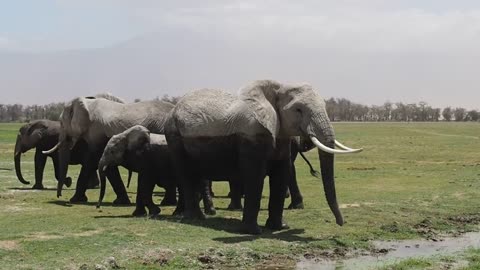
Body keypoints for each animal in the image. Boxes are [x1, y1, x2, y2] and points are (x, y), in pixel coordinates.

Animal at [43, 96, 174, 204]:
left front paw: (74, 200)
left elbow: (96, 162)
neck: (88, 103)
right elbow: (96, 163)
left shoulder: (97, 132)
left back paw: (167, 203)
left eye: (61, 123)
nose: (59, 196)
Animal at [163, 79, 362, 233]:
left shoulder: (281, 134)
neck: (277, 88)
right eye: (298, 110)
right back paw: (195, 218)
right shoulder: (252, 134)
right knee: (186, 173)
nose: (341, 223)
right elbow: (255, 176)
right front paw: (253, 232)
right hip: (174, 135)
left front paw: (280, 227)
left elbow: (282, 173)